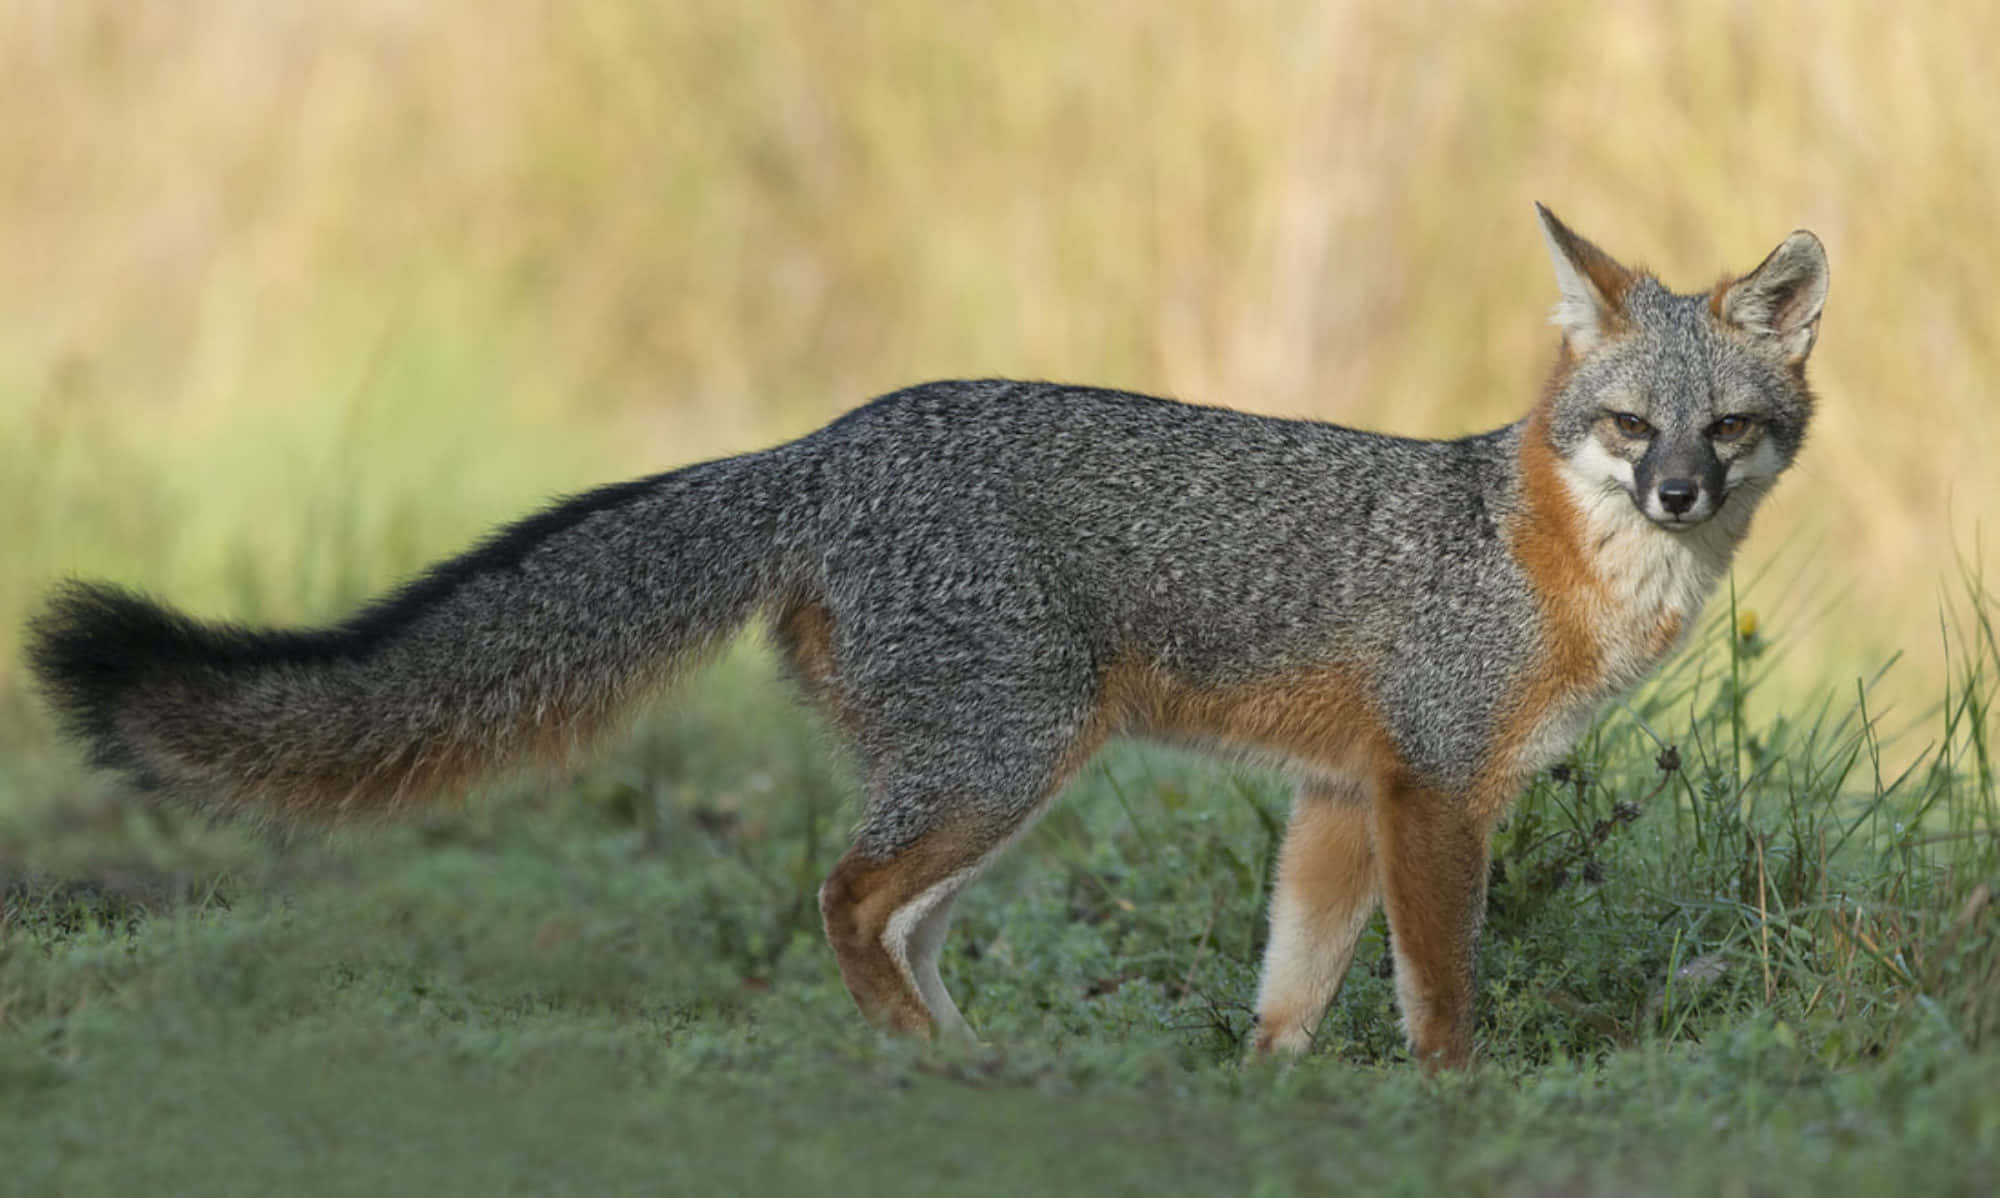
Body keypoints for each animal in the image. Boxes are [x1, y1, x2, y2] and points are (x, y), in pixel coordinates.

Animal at [26, 207, 1827, 1069]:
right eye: (1628, 425)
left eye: (1728, 427)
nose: (1675, 492)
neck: (1551, 559)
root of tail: (821, 440)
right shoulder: (1435, 788)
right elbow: (1438, 988)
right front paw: (1453, 1103)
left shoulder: (1337, 794)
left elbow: (1290, 986)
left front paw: (1272, 1093)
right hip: (1004, 759)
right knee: (842, 899)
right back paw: (932, 1063)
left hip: (989, 779)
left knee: (895, 923)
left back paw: (971, 1063)